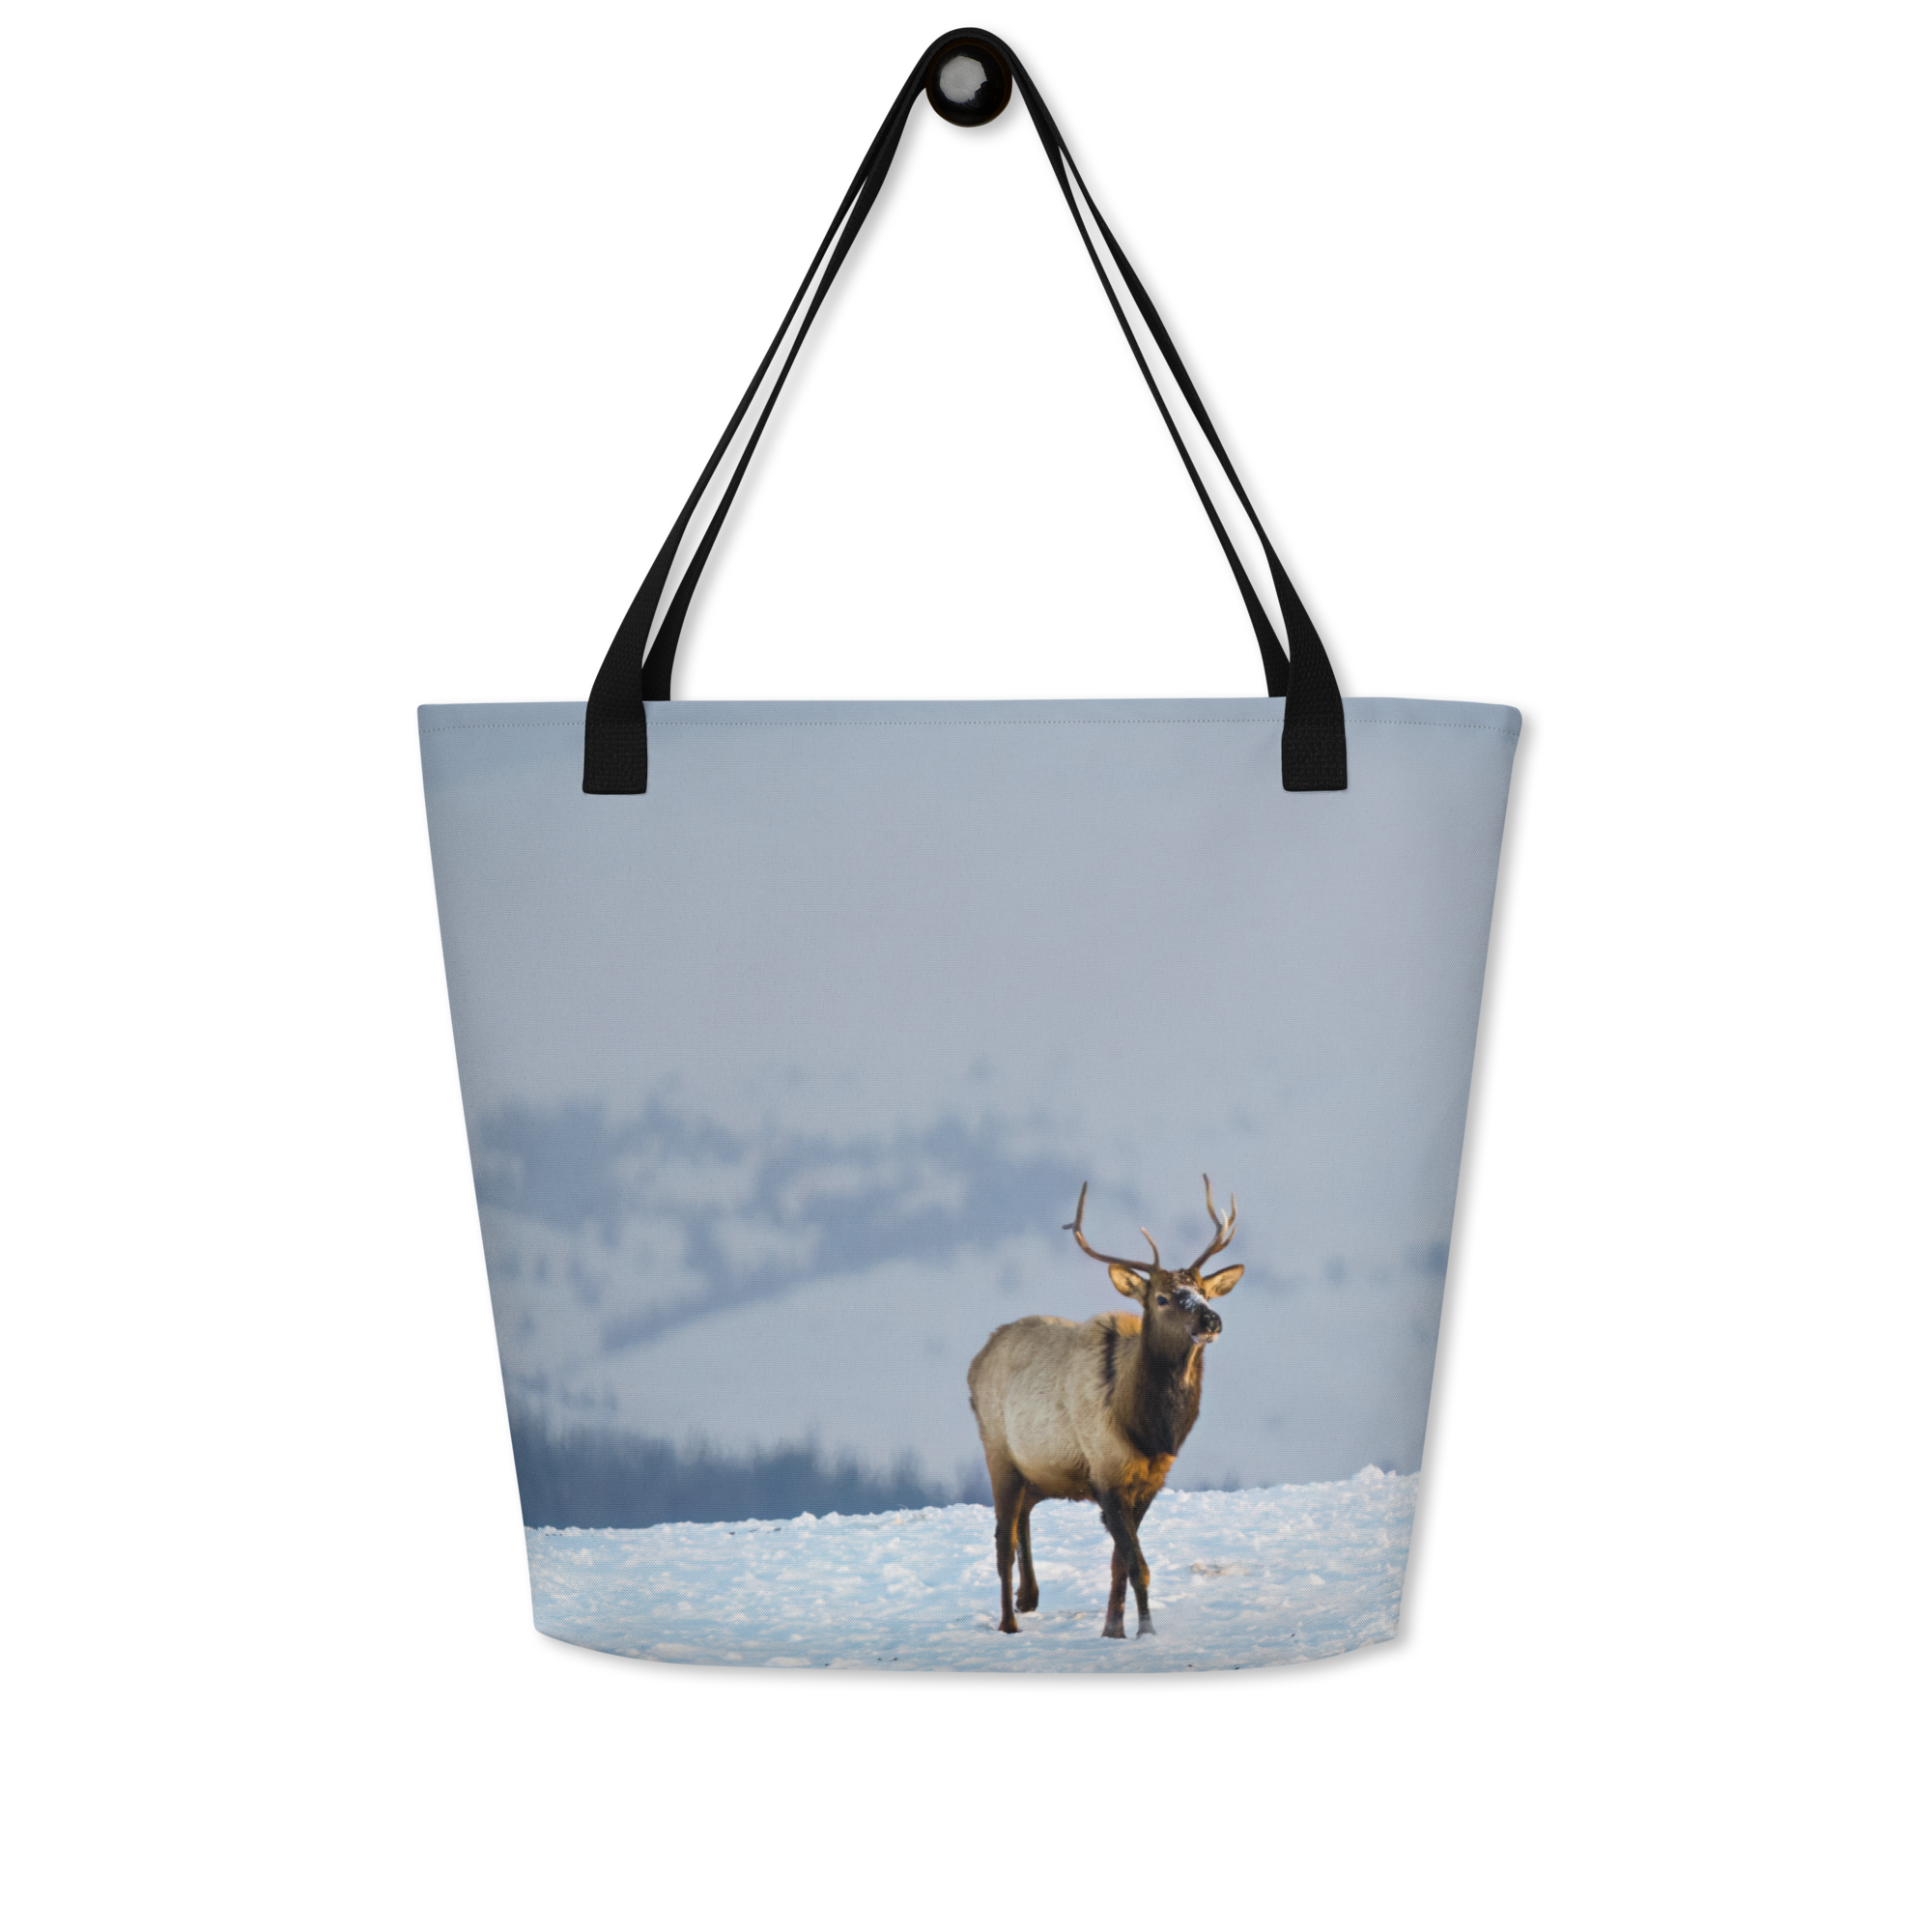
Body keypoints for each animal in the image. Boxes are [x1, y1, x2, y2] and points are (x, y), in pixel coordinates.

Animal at [966, 1176, 1242, 1639]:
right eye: (1162, 1298)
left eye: (1204, 1291)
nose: (1211, 1319)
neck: (1150, 1429)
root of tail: (977, 1359)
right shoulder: (1107, 1473)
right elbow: (1137, 1564)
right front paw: (1146, 1631)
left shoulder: (1150, 1480)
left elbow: (1119, 1564)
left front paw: (1113, 1630)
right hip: (998, 1452)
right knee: (1003, 1536)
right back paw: (1009, 1622)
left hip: (1038, 1469)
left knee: (1023, 1515)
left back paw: (1029, 1597)